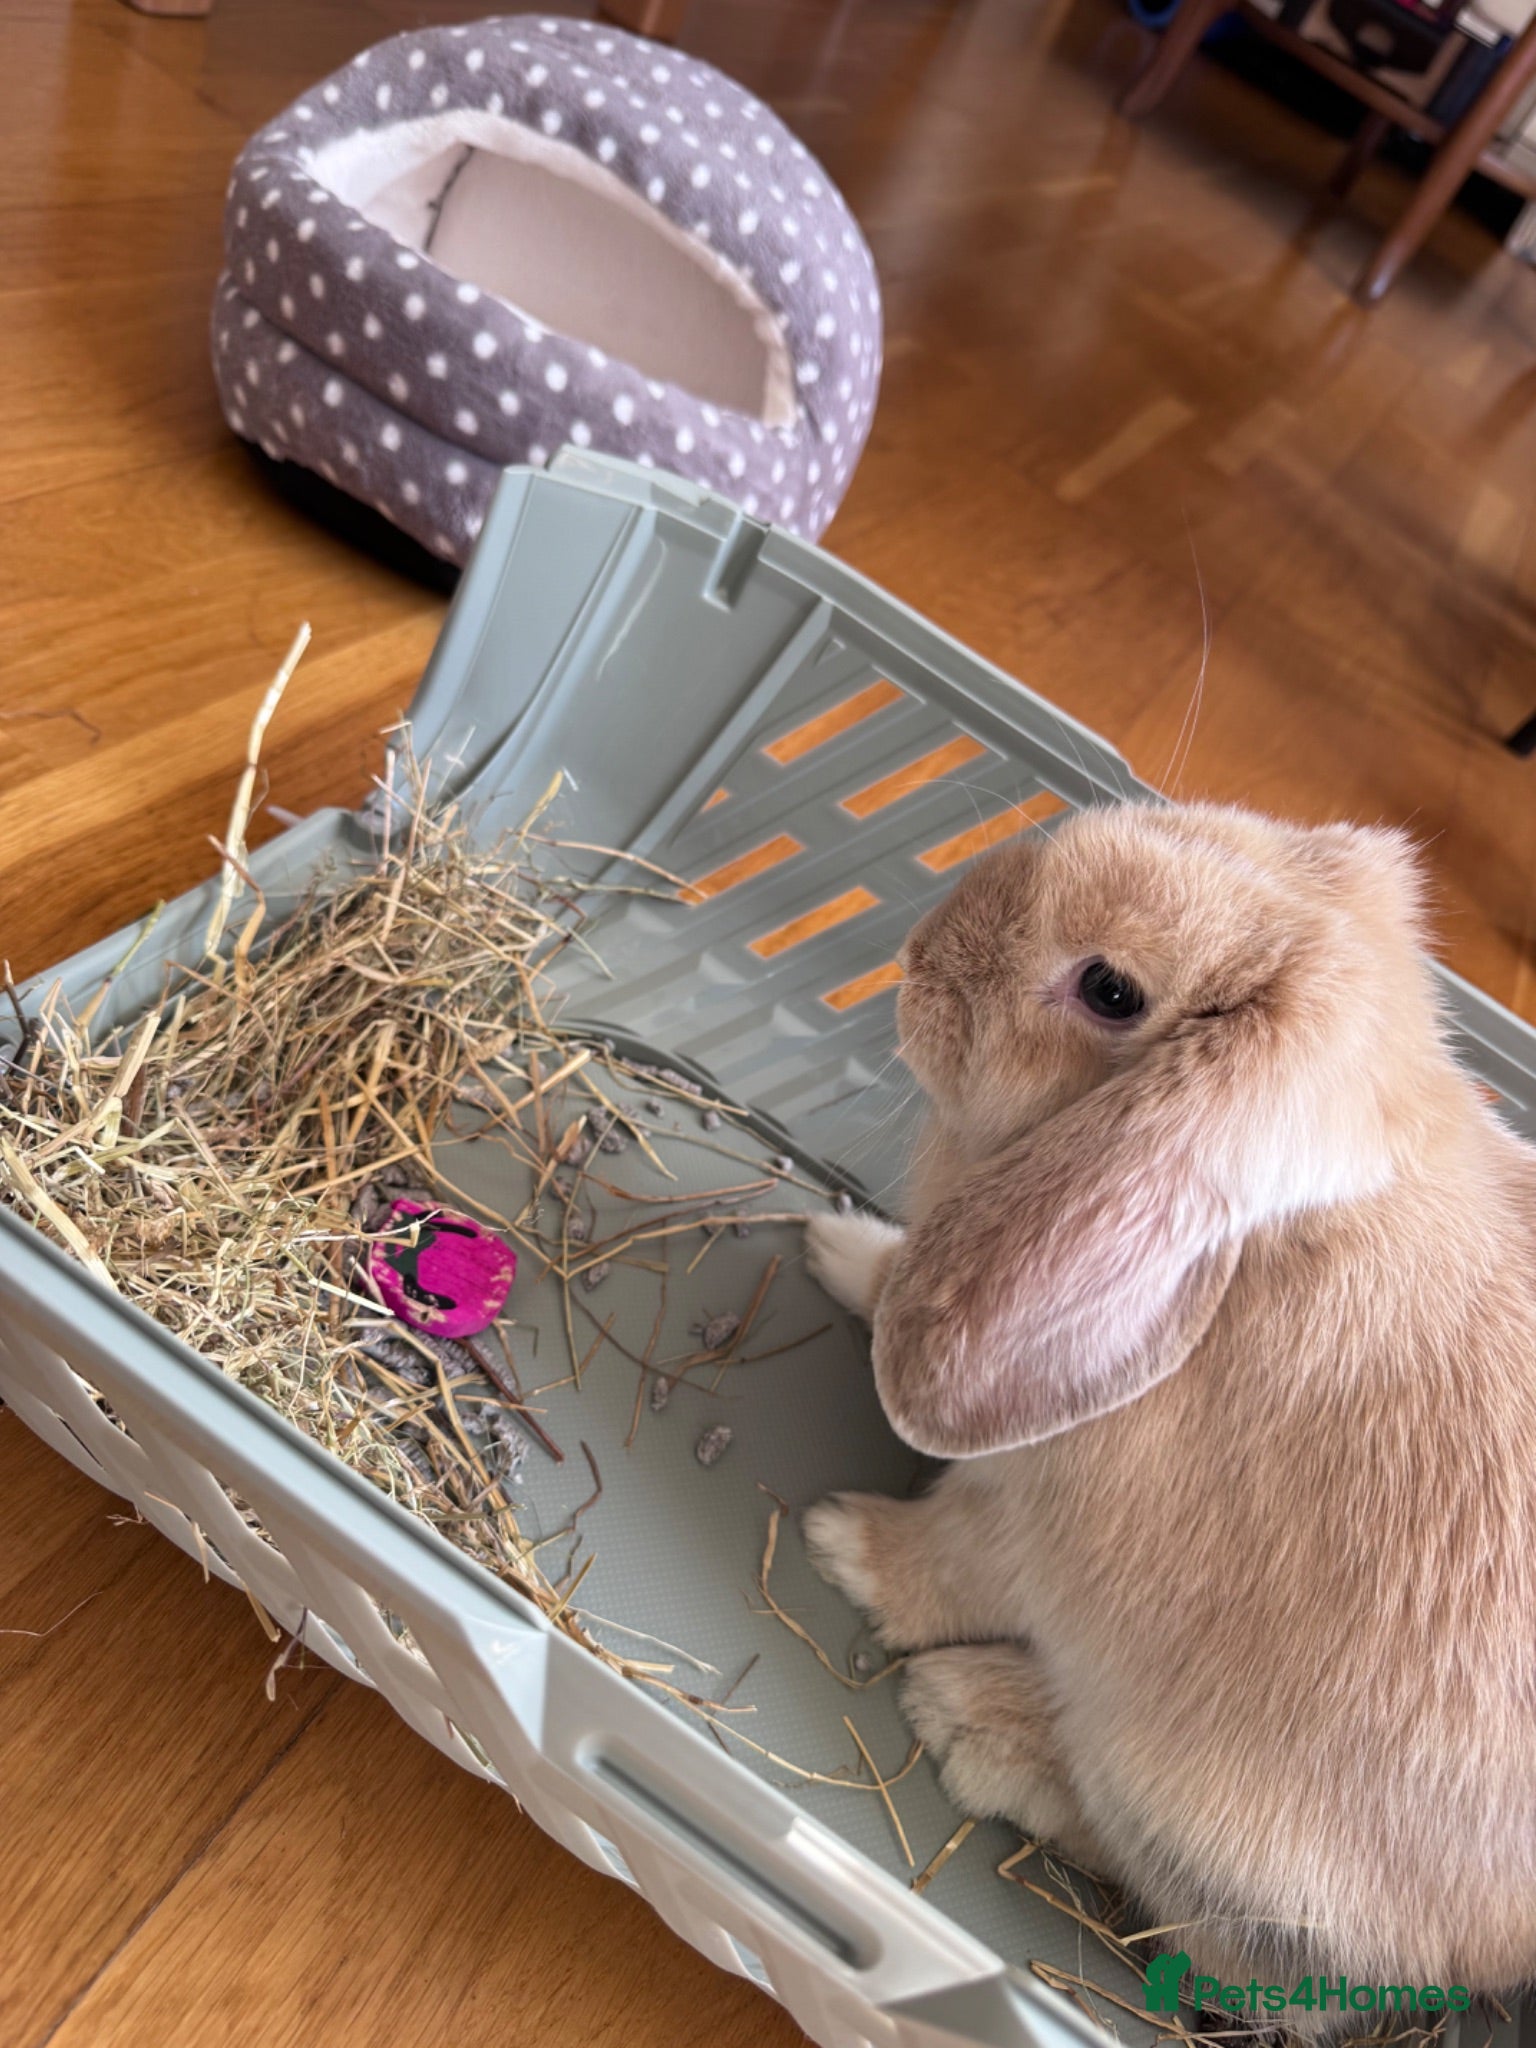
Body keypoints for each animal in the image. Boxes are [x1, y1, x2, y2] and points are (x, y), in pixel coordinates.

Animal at [802, 800, 1536, 2021]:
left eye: (1110, 990)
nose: (914, 958)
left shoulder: (1022, 1523)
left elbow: (945, 1562)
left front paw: (842, 1544)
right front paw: (839, 1247)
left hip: (1213, 1828)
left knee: (1242, 1959)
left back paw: (971, 1720)